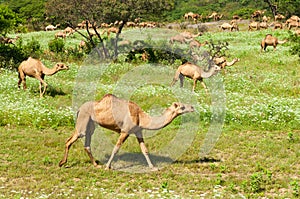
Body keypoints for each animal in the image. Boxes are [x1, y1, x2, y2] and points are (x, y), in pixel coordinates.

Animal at [58, 93, 195, 169]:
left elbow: (144, 150)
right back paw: (62, 163)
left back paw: (96, 164)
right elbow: (116, 148)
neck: (141, 117)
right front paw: (107, 167)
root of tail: (79, 109)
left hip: (91, 124)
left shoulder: (138, 131)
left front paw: (153, 167)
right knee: (70, 140)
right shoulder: (125, 131)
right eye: (182, 107)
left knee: (87, 144)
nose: (192, 107)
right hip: (83, 120)